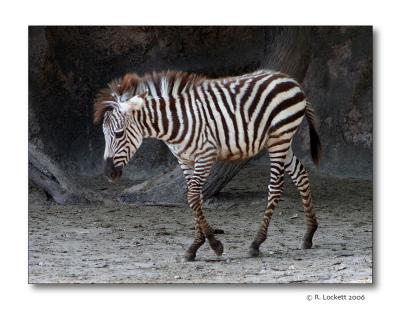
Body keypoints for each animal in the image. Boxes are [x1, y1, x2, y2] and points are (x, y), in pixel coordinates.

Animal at [94, 69, 322, 260]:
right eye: (103, 134)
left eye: (119, 134)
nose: (108, 173)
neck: (176, 123)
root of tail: (290, 80)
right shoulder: (185, 160)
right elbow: (193, 197)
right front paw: (196, 246)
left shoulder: (205, 155)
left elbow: (194, 197)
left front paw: (213, 244)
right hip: (280, 141)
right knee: (301, 174)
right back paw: (309, 234)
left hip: (279, 139)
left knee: (275, 187)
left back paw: (256, 243)